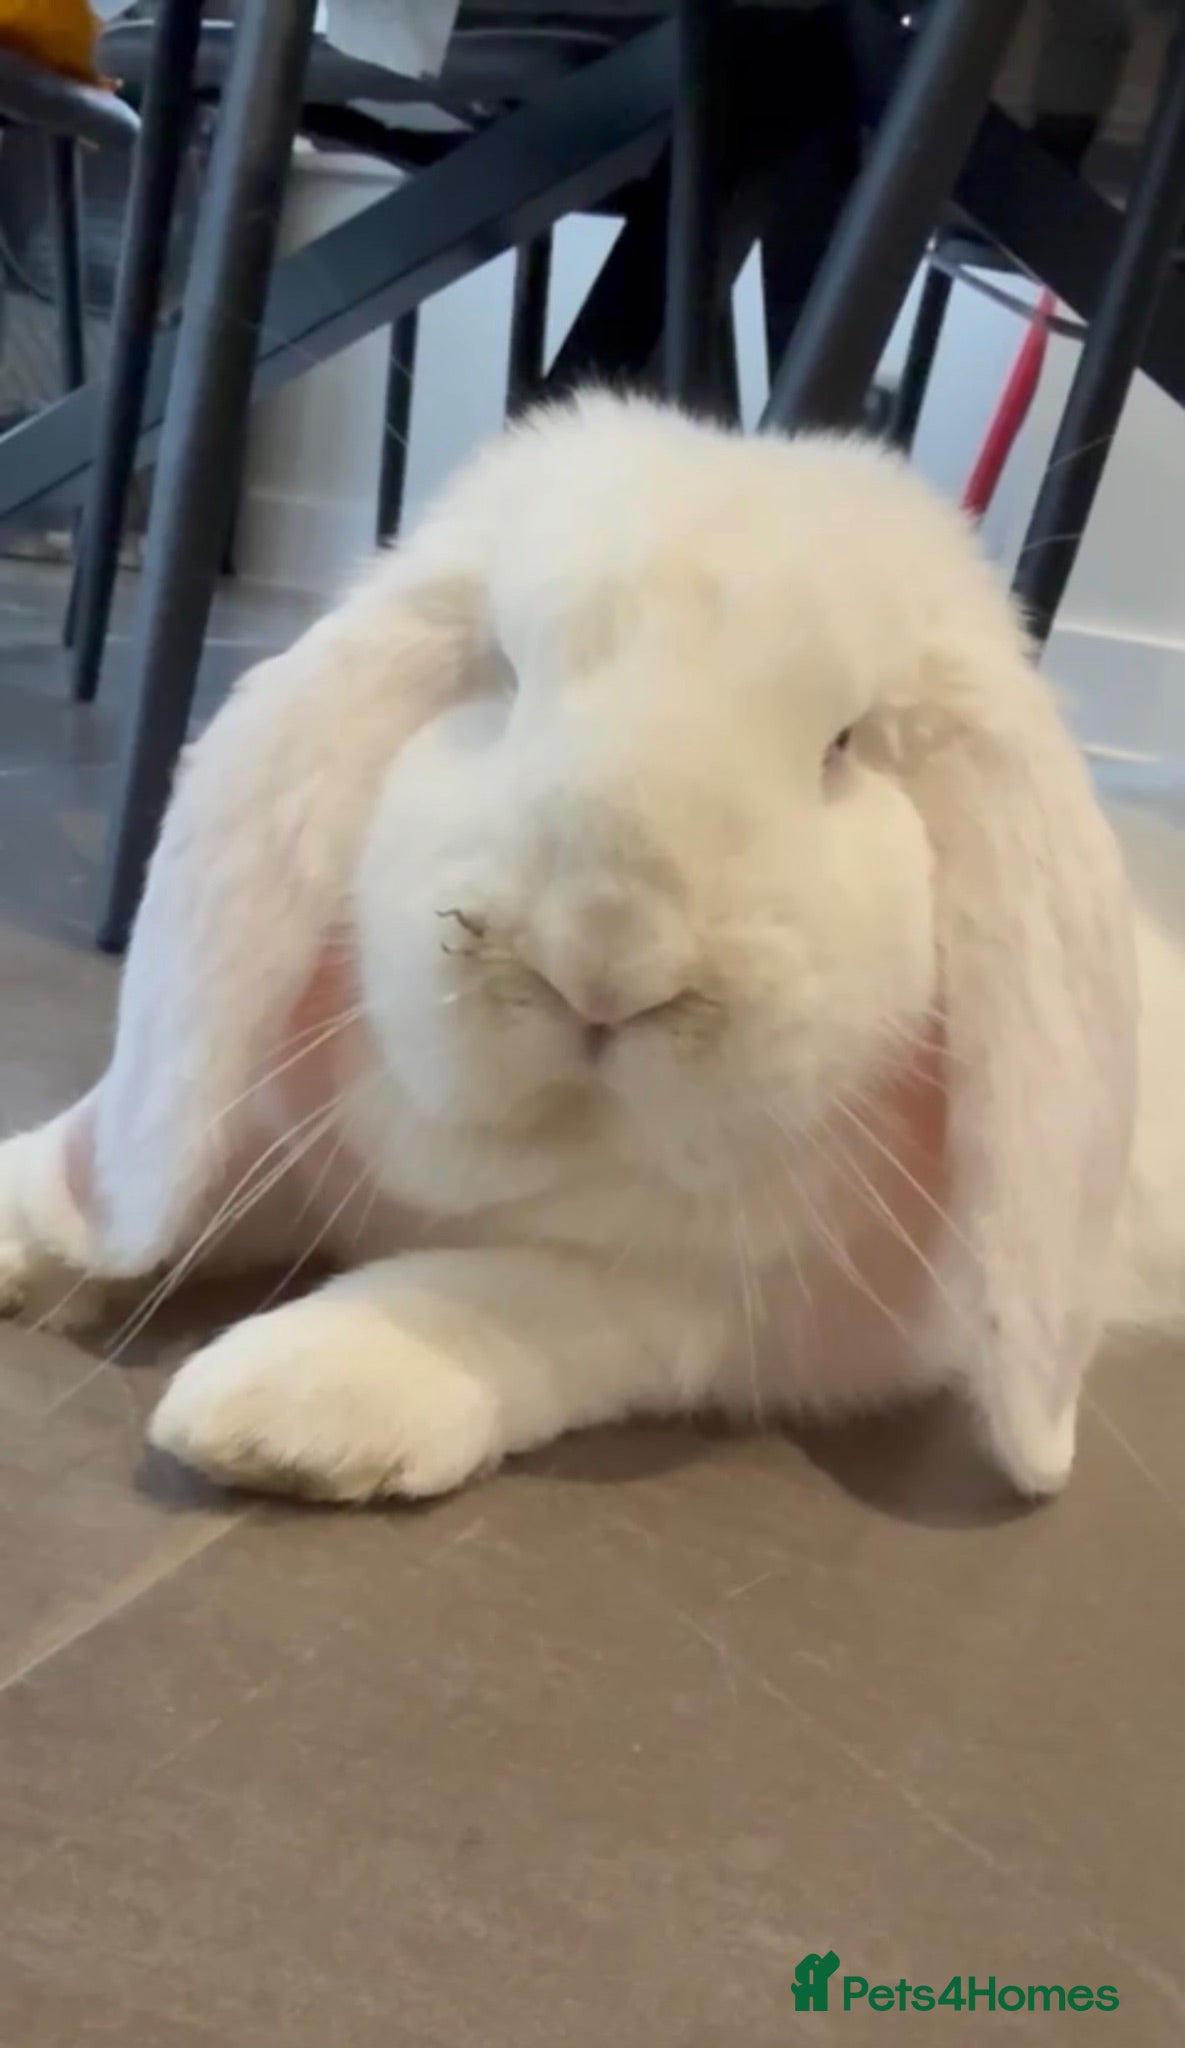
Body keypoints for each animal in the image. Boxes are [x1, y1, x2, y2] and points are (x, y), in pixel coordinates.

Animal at [2, 391, 1180, 1506]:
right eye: (504, 676)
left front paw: (294, 1405)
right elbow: (193, 1172)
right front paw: (28, 1224)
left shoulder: (729, 1311)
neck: (556, 1141)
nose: (606, 959)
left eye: (843, 745)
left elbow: (513, 1294)